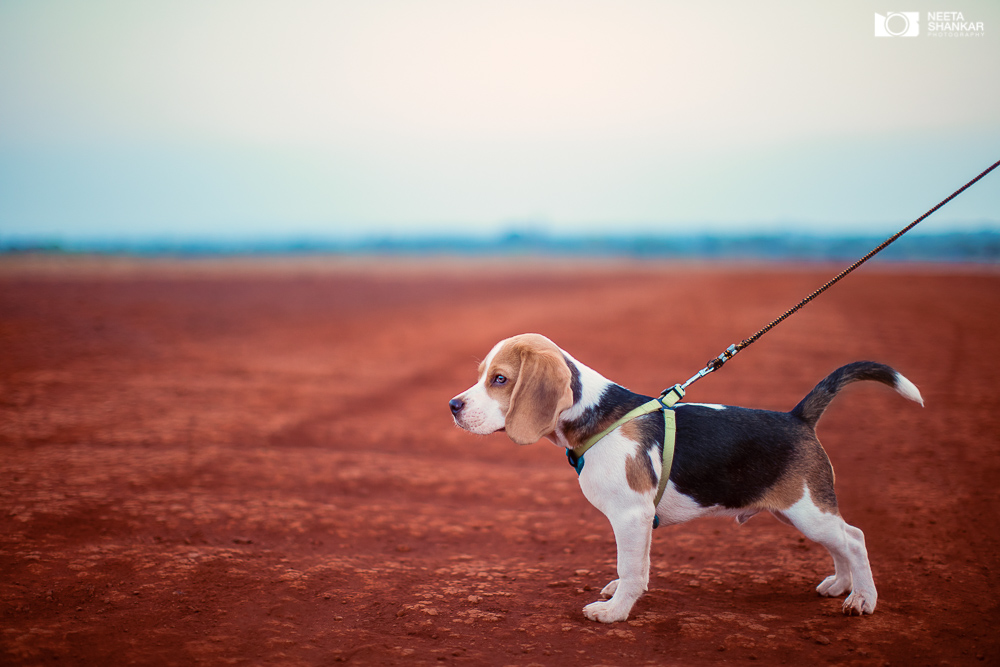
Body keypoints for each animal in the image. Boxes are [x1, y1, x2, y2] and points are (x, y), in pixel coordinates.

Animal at [450, 336, 924, 624]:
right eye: (482, 375)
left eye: (500, 379)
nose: (453, 405)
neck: (596, 415)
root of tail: (797, 418)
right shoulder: (636, 520)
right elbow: (633, 565)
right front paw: (620, 595)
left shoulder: (632, 515)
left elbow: (631, 567)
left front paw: (615, 611)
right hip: (801, 513)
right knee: (841, 541)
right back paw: (841, 585)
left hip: (806, 510)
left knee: (855, 538)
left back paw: (863, 598)